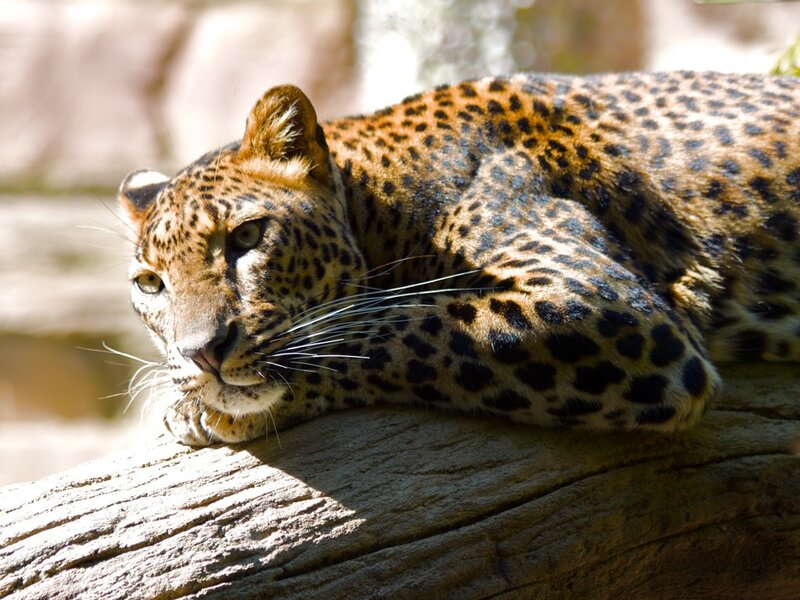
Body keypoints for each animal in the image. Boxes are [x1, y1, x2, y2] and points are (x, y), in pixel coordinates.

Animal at [118, 71, 800, 447]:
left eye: (247, 237)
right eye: (151, 284)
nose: (202, 354)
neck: (383, 200)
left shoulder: (602, 303)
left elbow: (403, 327)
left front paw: (203, 409)